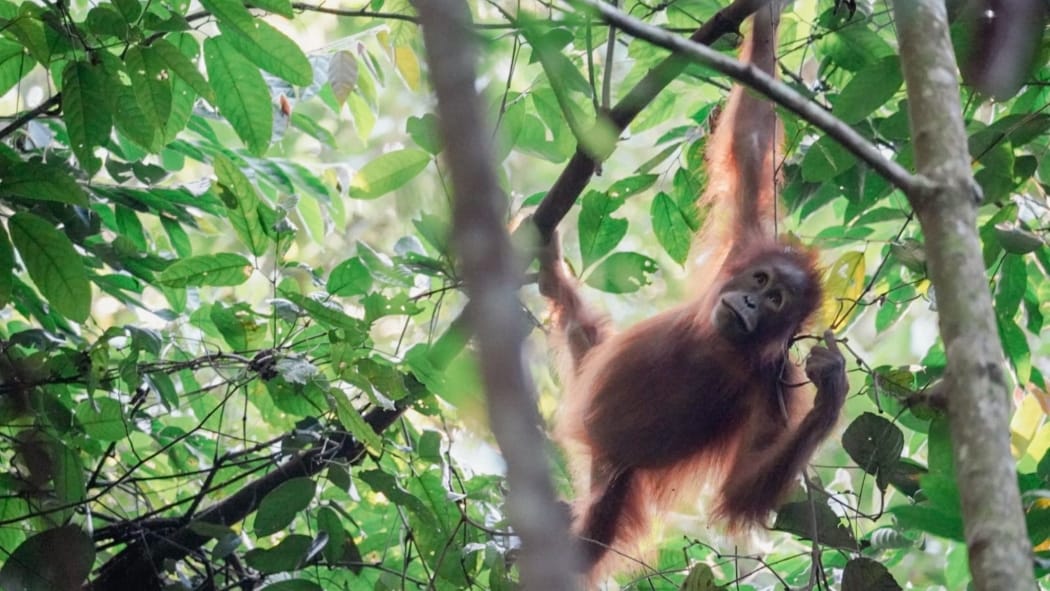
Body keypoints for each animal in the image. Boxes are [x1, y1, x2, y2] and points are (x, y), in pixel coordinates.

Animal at [536, 0, 848, 579]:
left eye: (774, 303)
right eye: (760, 280)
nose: (748, 301)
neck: (723, 344)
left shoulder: (779, 383)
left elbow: (742, 492)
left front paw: (832, 389)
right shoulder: (747, 241)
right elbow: (750, 138)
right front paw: (765, 21)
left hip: (618, 483)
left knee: (589, 544)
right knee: (581, 329)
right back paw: (551, 268)